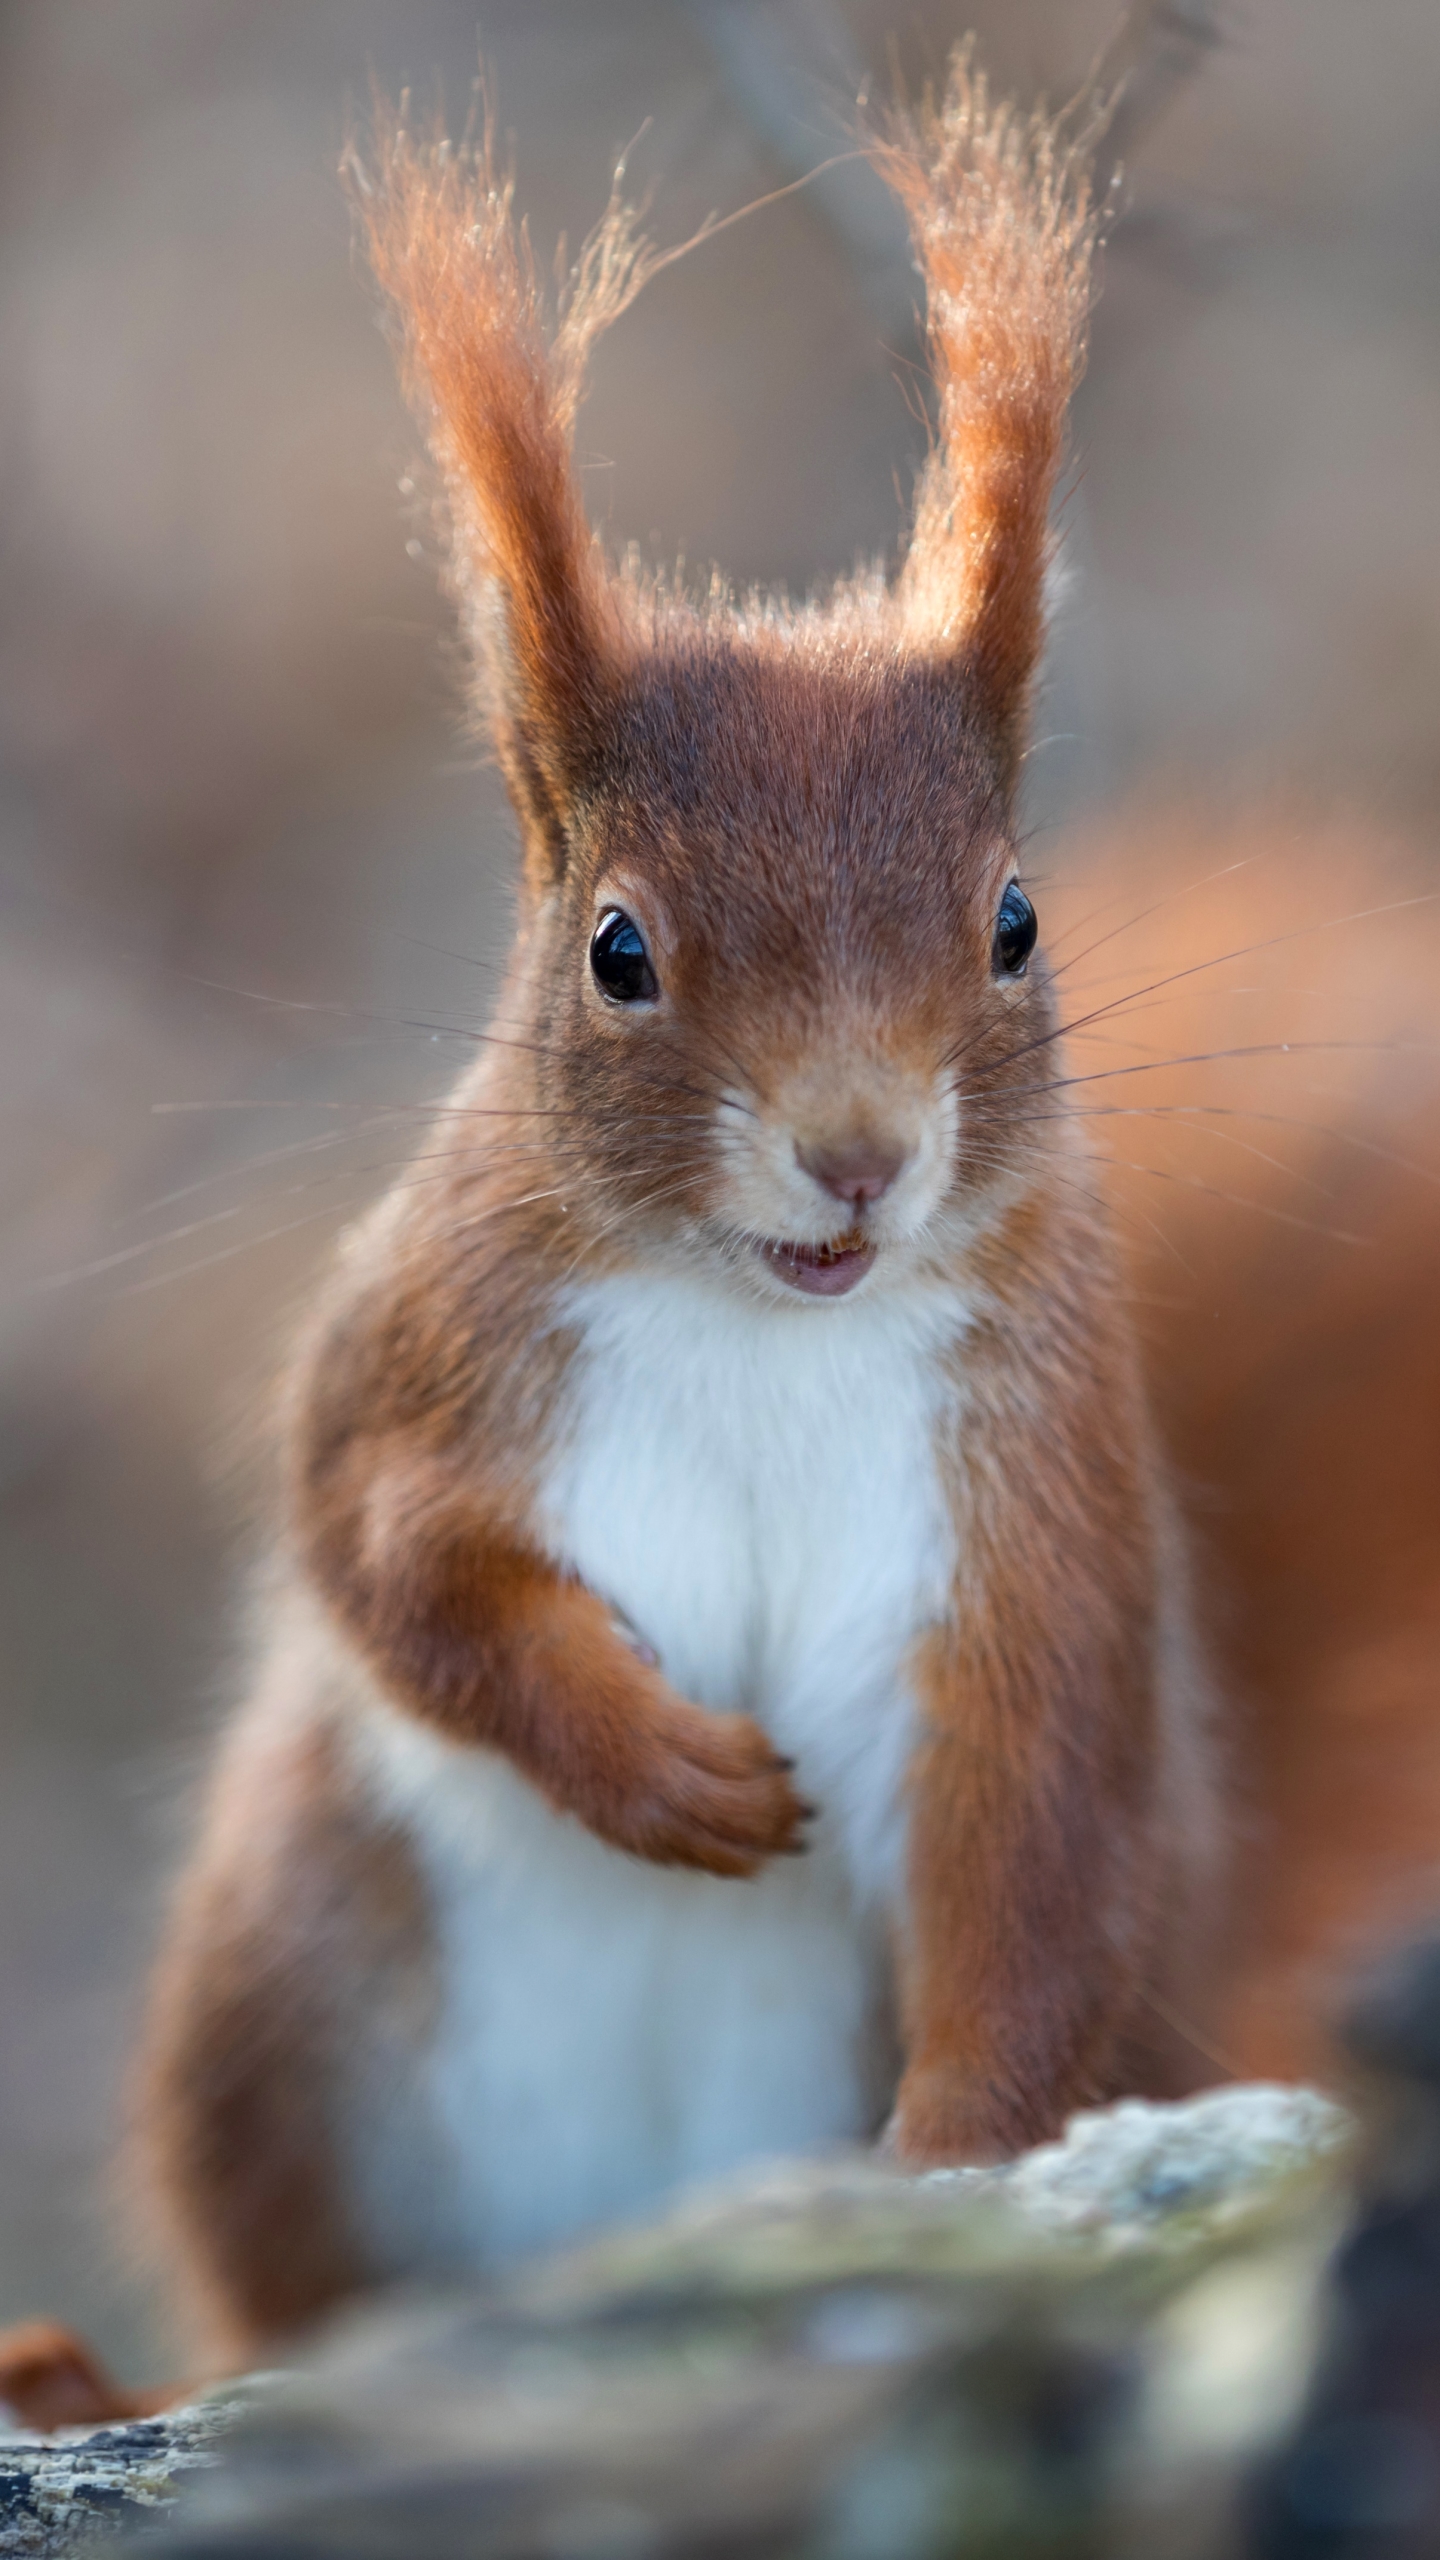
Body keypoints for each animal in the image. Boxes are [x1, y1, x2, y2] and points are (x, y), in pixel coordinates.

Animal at [11, 55, 1434, 2416]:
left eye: (1016, 921)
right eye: (619, 951)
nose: (857, 1155)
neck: (775, 1331)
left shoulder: (1030, 1538)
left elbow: (1028, 1859)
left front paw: (949, 2186)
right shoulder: (419, 1353)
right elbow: (385, 1557)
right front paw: (654, 1762)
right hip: (284, 2012)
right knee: (287, 2307)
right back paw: (92, 2385)